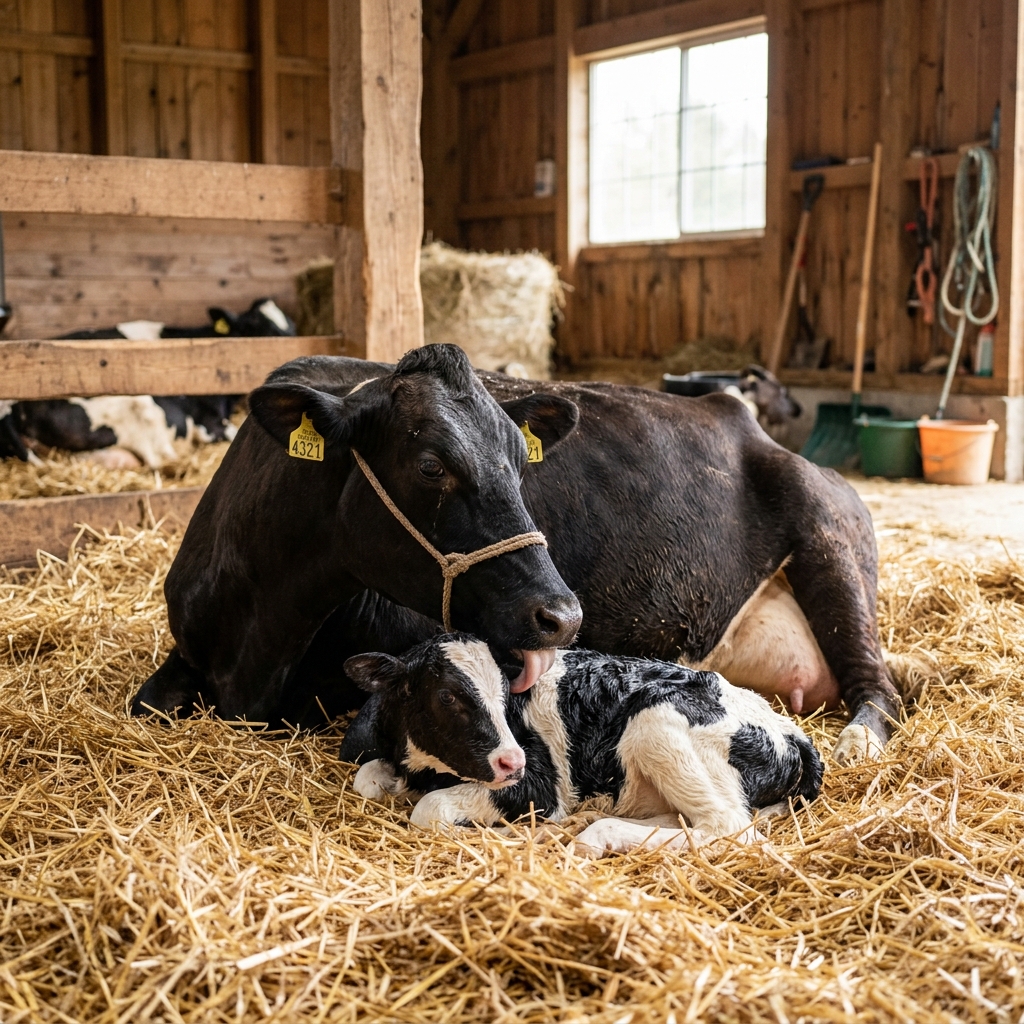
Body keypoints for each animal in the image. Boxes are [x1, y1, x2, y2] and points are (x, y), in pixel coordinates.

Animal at [132, 346, 911, 765]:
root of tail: (741, 416)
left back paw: (858, 743)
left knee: (879, 687)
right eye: (430, 466)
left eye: (517, 459)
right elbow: (146, 704)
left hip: (830, 542)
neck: (257, 647)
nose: (563, 615)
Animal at [340, 634, 824, 855]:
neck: (427, 766)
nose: (511, 760)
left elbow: (430, 809)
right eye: (446, 696)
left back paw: (591, 835)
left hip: (656, 724)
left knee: (727, 826)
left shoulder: (537, 784)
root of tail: (793, 731)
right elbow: (366, 778)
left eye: (505, 689)